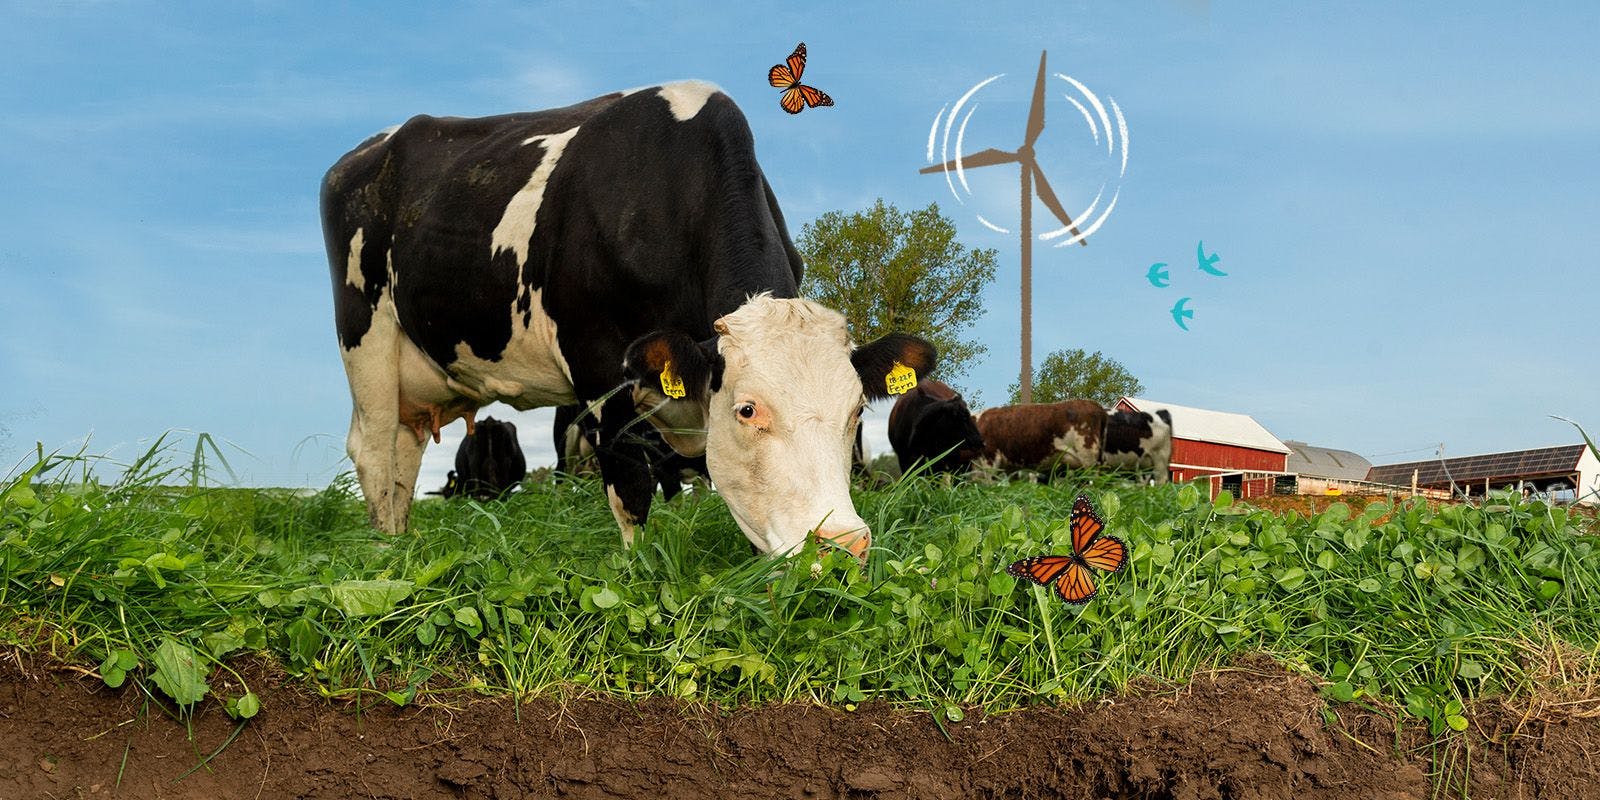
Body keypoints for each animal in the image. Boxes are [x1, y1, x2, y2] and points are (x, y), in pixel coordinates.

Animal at [318, 82, 934, 556]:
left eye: (856, 411)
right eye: (748, 409)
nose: (843, 544)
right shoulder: (599, 371)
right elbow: (632, 489)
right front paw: (640, 576)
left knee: (402, 459)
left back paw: (402, 547)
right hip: (366, 341)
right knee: (374, 453)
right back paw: (386, 561)